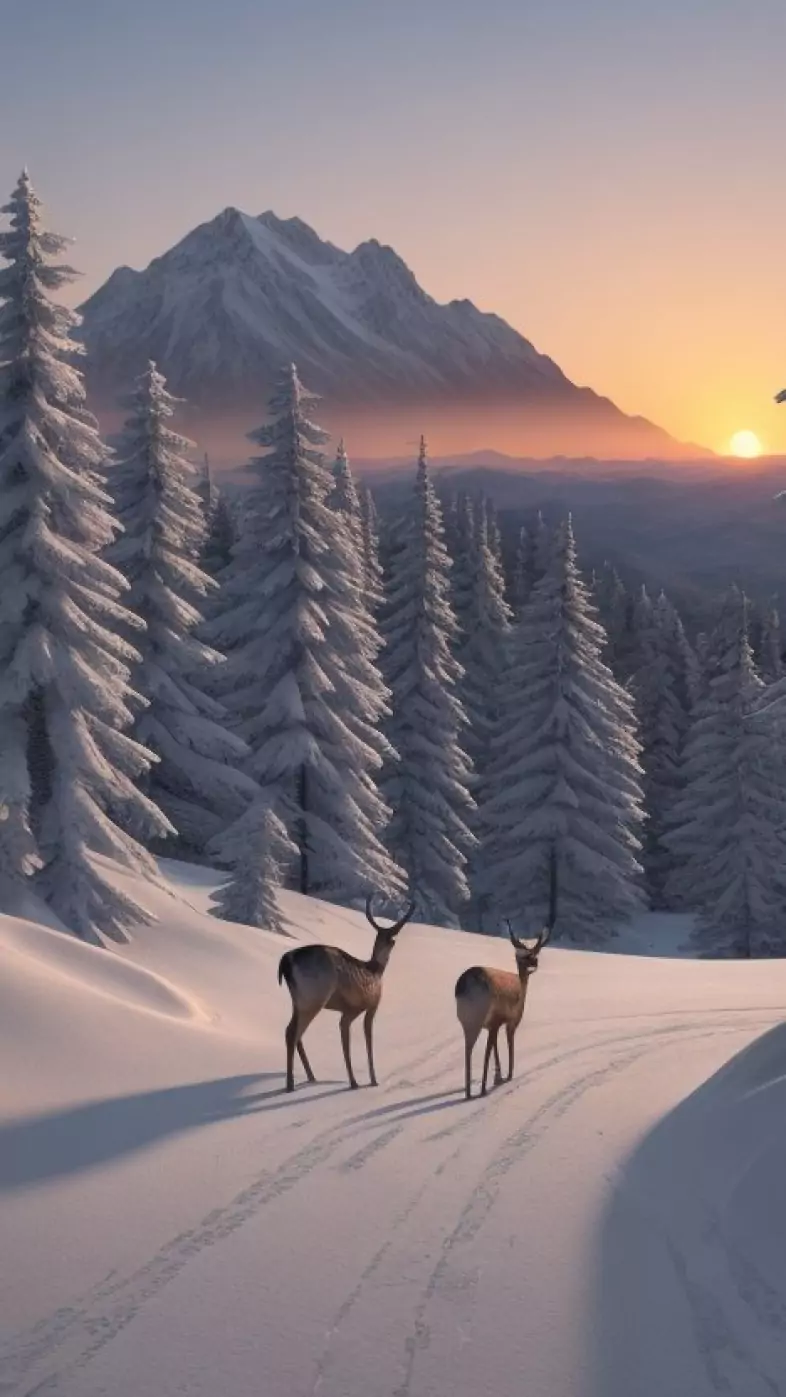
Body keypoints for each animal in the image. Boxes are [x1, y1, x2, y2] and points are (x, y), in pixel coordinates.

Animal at [278, 893, 416, 1093]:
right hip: (313, 997)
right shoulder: (368, 1005)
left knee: (295, 1033)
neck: (376, 970)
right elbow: (366, 1038)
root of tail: (285, 962)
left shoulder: (348, 1010)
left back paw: (311, 1077)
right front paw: (371, 1080)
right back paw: (290, 1085)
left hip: (297, 1000)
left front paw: (354, 1081)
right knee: (292, 1033)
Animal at [455, 851, 557, 1100]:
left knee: (469, 1049)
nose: (534, 962)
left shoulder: (495, 1023)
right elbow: (506, 1045)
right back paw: (481, 1089)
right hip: (484, 1015)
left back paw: (469, 1091)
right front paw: (507, 1075)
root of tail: (468, 983)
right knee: (481, 1049)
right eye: (525, 956)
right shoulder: (509, 1019)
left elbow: (495, 1049)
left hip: (467, 1019)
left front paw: (498, 1076)